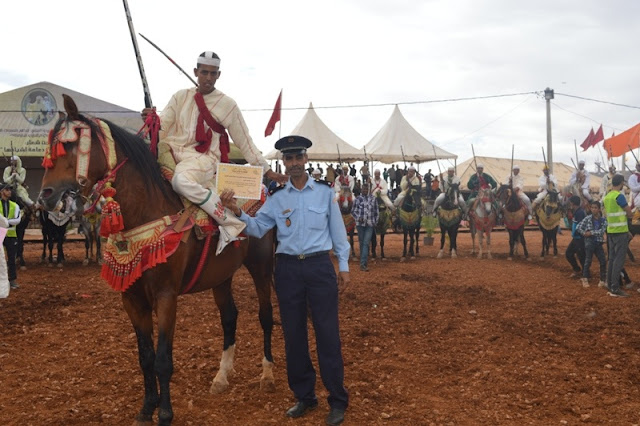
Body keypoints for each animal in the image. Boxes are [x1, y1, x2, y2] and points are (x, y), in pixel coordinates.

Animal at [38, 95, 275, 425]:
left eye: (70, 144)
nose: (45, 195)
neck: (144, 209)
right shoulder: (131, 297)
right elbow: (145, 357)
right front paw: (146, 408)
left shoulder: (165, 295)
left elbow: (163, 359)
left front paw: (164, 413)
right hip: (222, 276)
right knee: (229, 317)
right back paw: (222, 376)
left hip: (261, 268)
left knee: (265, 315)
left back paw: (267, 375)